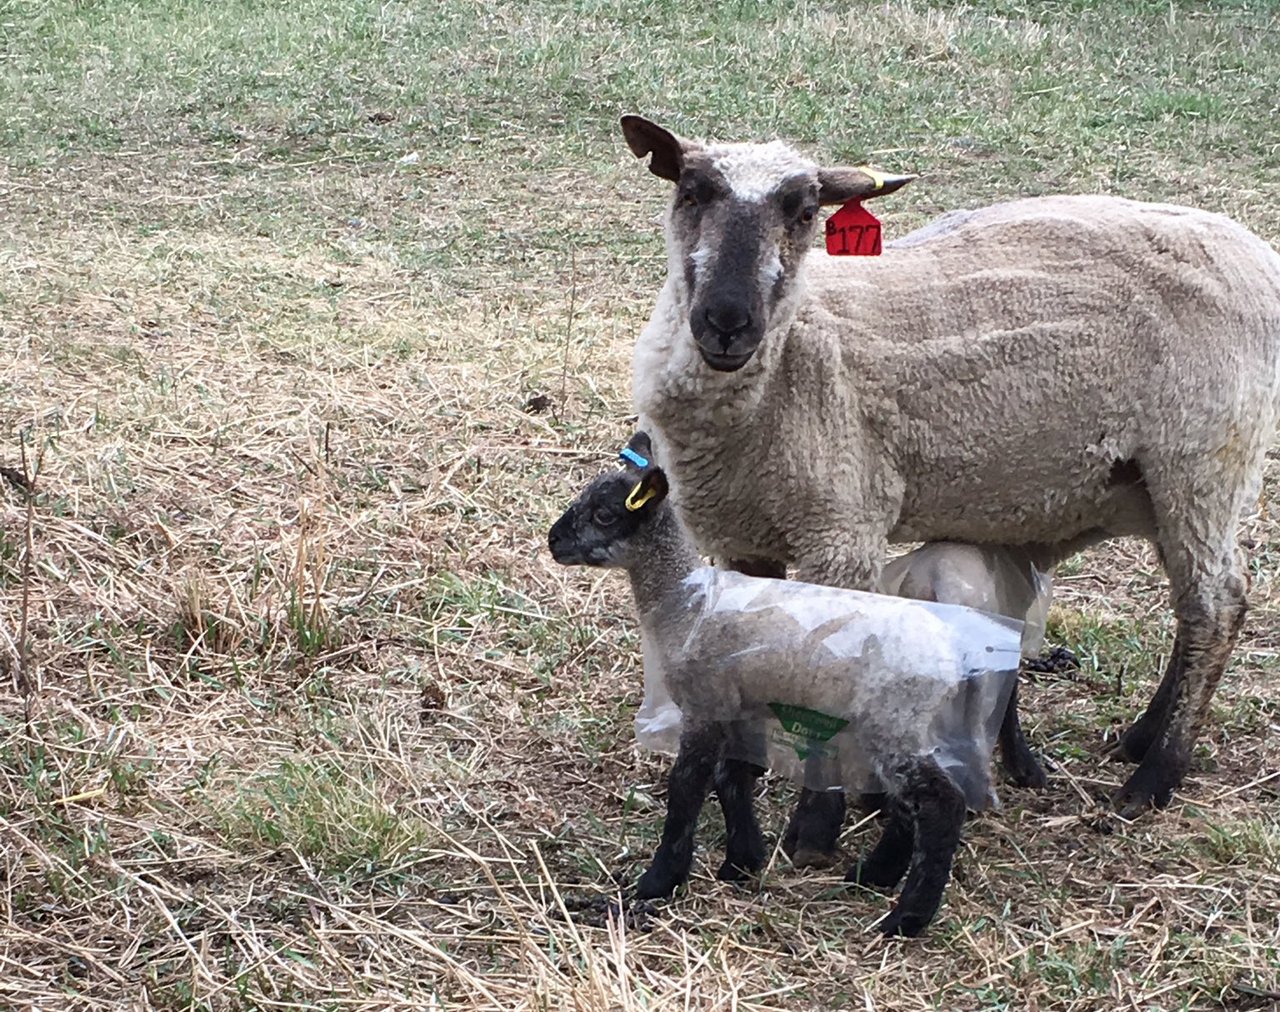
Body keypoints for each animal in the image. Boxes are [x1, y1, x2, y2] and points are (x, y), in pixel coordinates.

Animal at [547, 440, 1018, 936]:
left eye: (604, 514)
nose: (553, 541)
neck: (686, 604)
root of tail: (953, 653)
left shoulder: (704, 704)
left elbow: (687, 789)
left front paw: (660, 880)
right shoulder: (739, 705)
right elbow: (730, 779)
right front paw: (742, 861)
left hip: (893, 719)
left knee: (940, 805)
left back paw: (905, 918)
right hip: (901, 725)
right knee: (910, 807)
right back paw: (875, 875)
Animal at [619, 114, 1280, 864]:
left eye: (805, 210)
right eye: (691, 191)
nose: (728, 321)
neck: (793, 359)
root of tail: (1254, 252)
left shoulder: (842, 526)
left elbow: (825, 668)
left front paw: (816, 823)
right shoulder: (744, 534)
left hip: (1204, 457)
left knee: (1217, 603)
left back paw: (1154, 776)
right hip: (1158, 483)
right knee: (1192, 601)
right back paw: (1140, 739)